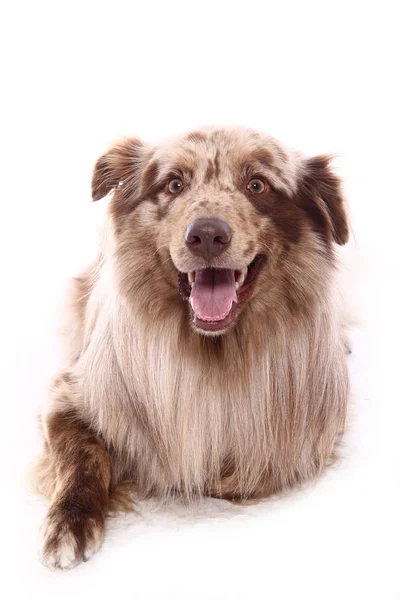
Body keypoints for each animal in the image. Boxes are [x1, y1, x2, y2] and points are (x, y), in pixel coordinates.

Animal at [35, 125, 350, 568]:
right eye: (174, 184)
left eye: (257, 185)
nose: (206, 235)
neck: (210, 351)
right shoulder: (69, 394)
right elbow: (83, 454)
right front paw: (69, 521)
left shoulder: (301, 441)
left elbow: (235, 471)